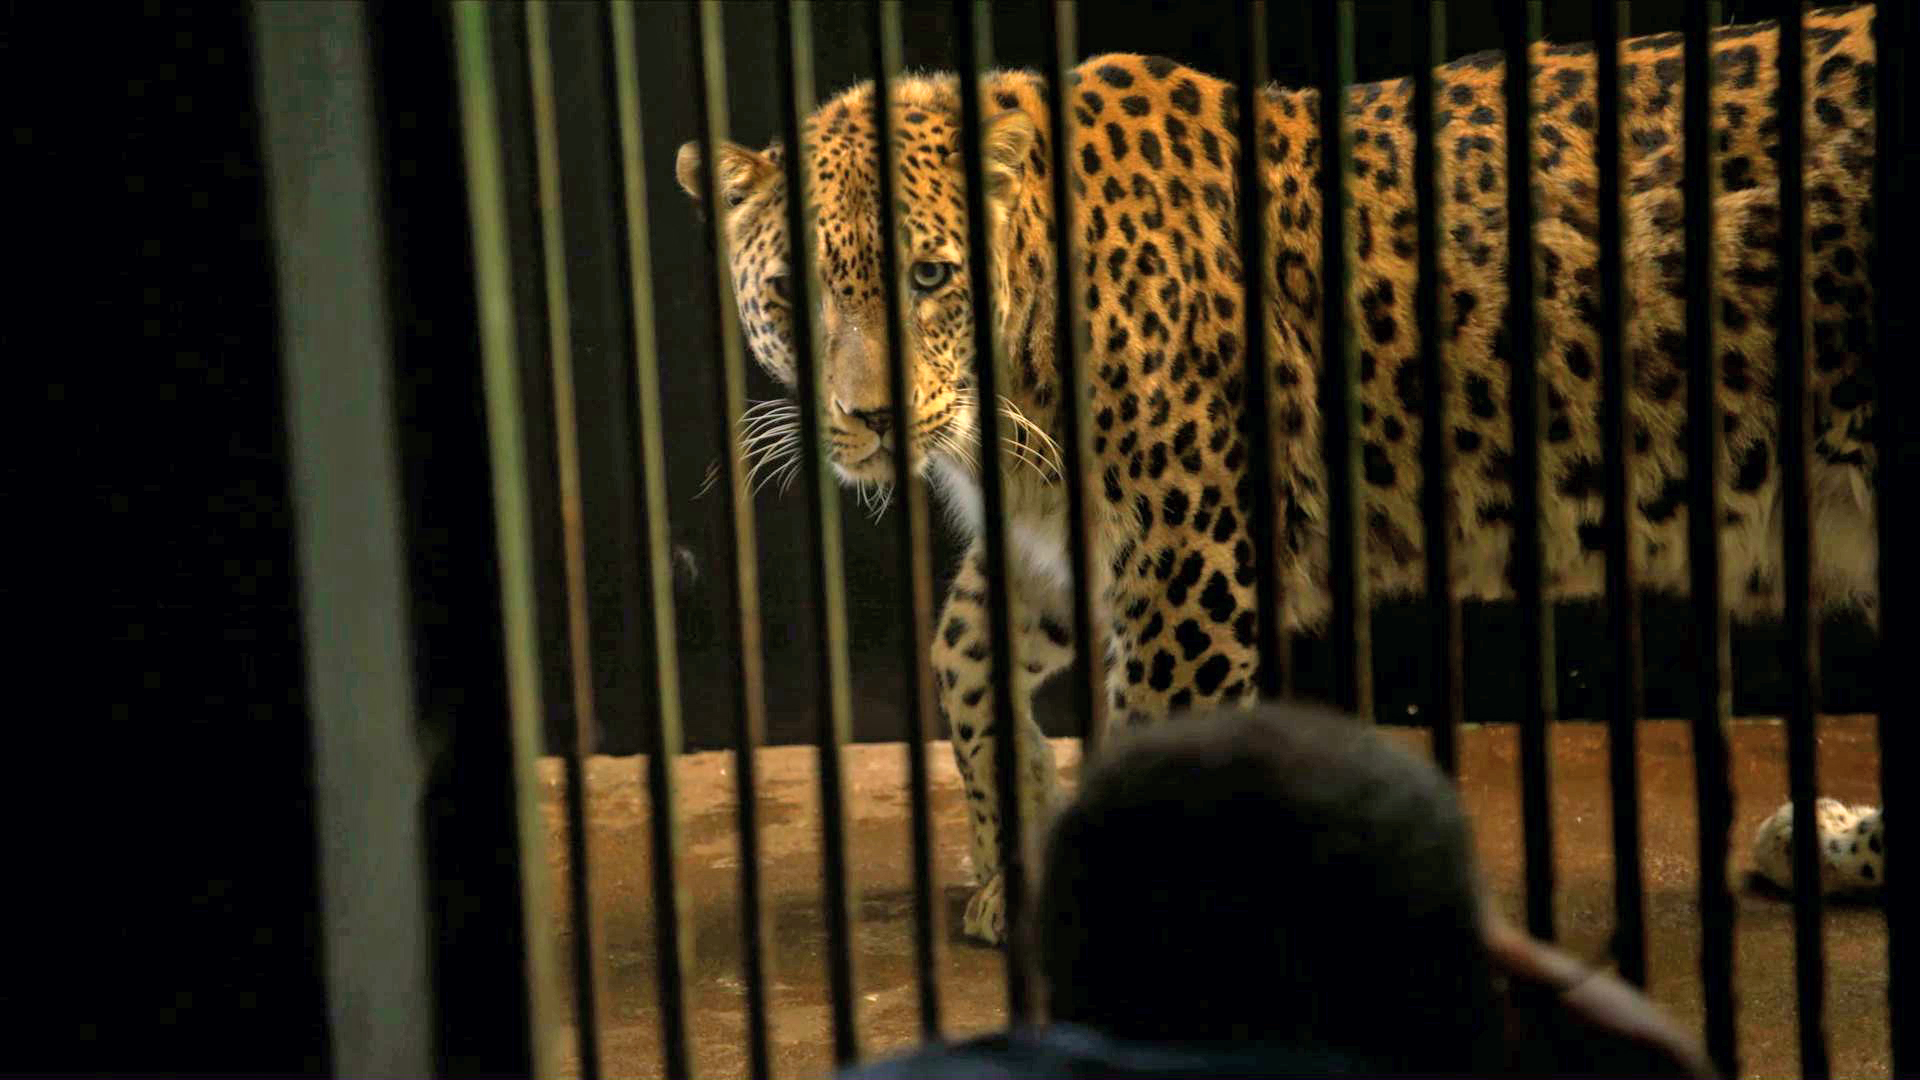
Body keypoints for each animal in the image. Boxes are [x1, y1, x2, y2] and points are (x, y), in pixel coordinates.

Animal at [683, 2, 1881, 941]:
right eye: (792, 292)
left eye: (931, 276)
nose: (872, 416)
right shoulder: (1063, 532)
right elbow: (963, 654)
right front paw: (1007, 852)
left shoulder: (1191, 567)